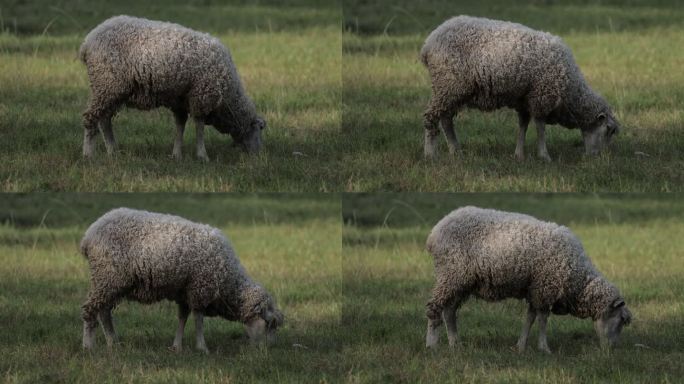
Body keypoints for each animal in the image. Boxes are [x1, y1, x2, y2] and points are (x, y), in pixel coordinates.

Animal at [77, 15, 264, 160]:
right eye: (259, 130)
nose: (259, 156)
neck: (229, 97)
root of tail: (88, 41)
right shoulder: (202, 96)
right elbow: (199, 126)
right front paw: (202, 155)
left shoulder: (180, 100)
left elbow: (180, 126)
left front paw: (176, 154)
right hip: (106, 84)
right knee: (91, 118)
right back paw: (88, 154)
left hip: (111, 90)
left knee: (104, 120)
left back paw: (113, 151)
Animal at [81, 208, 284, 352]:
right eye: (269, 325)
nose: (271, 350)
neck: (228, 280)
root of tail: (89, 234)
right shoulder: (200, 289)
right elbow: (198, 319)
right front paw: (202, 347)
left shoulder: (185, 293)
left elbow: (183, 318)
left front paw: (177, 346)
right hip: (107, 277)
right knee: (91, 309)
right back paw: (89, 345)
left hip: (111, 282)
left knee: (104, 312)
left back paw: (112, 342)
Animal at [422, 15, 620, 160]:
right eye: (608, 130)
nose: (601, 158)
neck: (570, 89)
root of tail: (429, 42)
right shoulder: (541, 96)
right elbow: (540, 127)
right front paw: (544, 156)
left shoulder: (524, 100)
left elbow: (523, 126)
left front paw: (519, 154)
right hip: (448, 84)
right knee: (432, 117)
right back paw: (430, 154)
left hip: (451, 90)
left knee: (446, 120)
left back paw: (455, 150)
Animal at [424, 206, 632, 352]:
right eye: (621, 320)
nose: (613, 350)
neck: (579, 280)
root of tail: (435, 231)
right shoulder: (545, 289)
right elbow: (542, 320)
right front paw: (544, 348)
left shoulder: (536, 290)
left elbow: (529, 319)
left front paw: (521, 346)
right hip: (451, 275)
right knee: (435, 309)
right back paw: (432, 344)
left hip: (461, 281)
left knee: (449, 312)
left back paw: (455, 344)